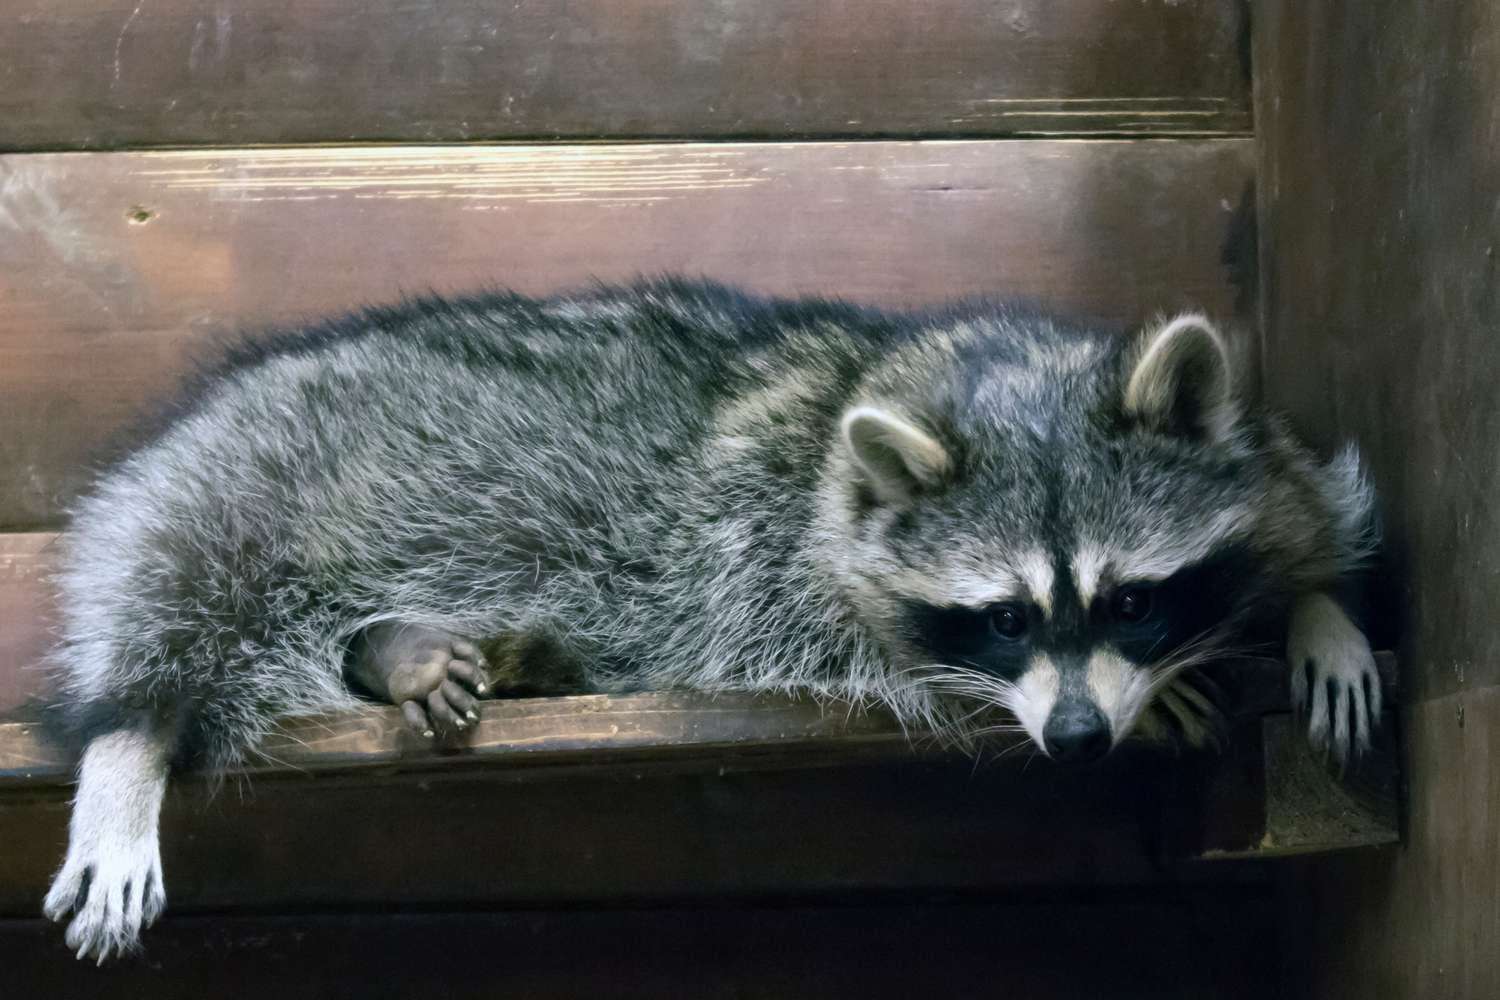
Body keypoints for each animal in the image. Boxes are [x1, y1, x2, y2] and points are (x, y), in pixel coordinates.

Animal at [41, 279, 1380, 961]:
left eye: (1132, 598)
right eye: (1002, 620)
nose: (1079, 739)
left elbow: (1295, 506)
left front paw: (1306, 601)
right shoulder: (774, 561)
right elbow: (871, 652)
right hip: (247, 476)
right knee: (174, 589)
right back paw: (136, 737)